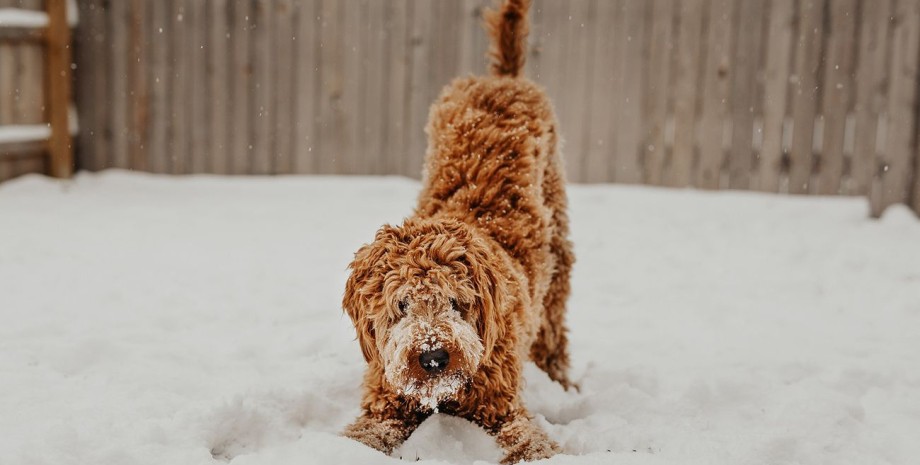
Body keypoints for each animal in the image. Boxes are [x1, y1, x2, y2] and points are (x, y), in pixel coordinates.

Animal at [344, 1, 576, 462]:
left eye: (456, 301)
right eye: (401, 305)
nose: (433, 357)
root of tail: (503, 78)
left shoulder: (502, 405)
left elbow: (529, 440)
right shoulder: (385, 400)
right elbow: (365, 434)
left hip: (558, 249)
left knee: (554, 325)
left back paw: (560, 380)